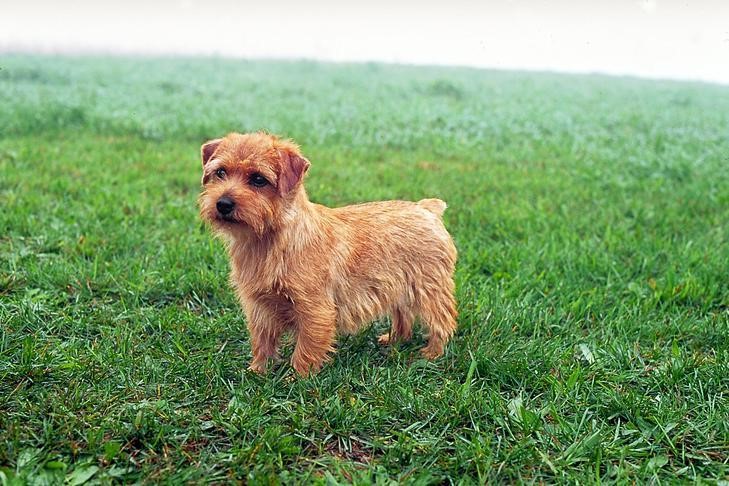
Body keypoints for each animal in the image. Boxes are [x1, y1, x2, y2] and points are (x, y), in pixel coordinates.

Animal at [198, 133, 456, 376]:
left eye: (258, 179)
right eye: (220, 172)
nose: (223, 203)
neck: (267, 243)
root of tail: (426, 208)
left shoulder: (315, 310)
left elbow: (306, 348)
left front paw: (296, 379)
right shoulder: (259, 307)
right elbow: (262, 341)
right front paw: (258, 371)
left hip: (429, 289)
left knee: (443, 320)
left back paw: (432, 353)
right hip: (396, 287)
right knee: (404, 317)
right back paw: (394, 340)